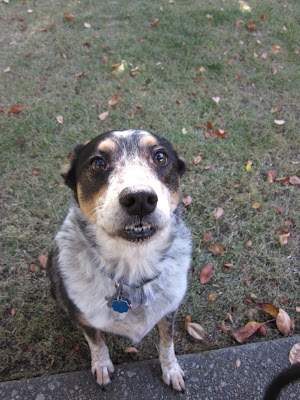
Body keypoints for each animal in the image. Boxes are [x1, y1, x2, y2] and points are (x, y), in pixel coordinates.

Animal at [47, 130, 192, 392]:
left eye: (160, 156)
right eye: (98, 163)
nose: (140, 198)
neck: (133, 265)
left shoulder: (169, 310)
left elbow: (167, 341)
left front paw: (171, 370)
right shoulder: (84, 318)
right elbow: (95, 341)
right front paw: (102, 365)